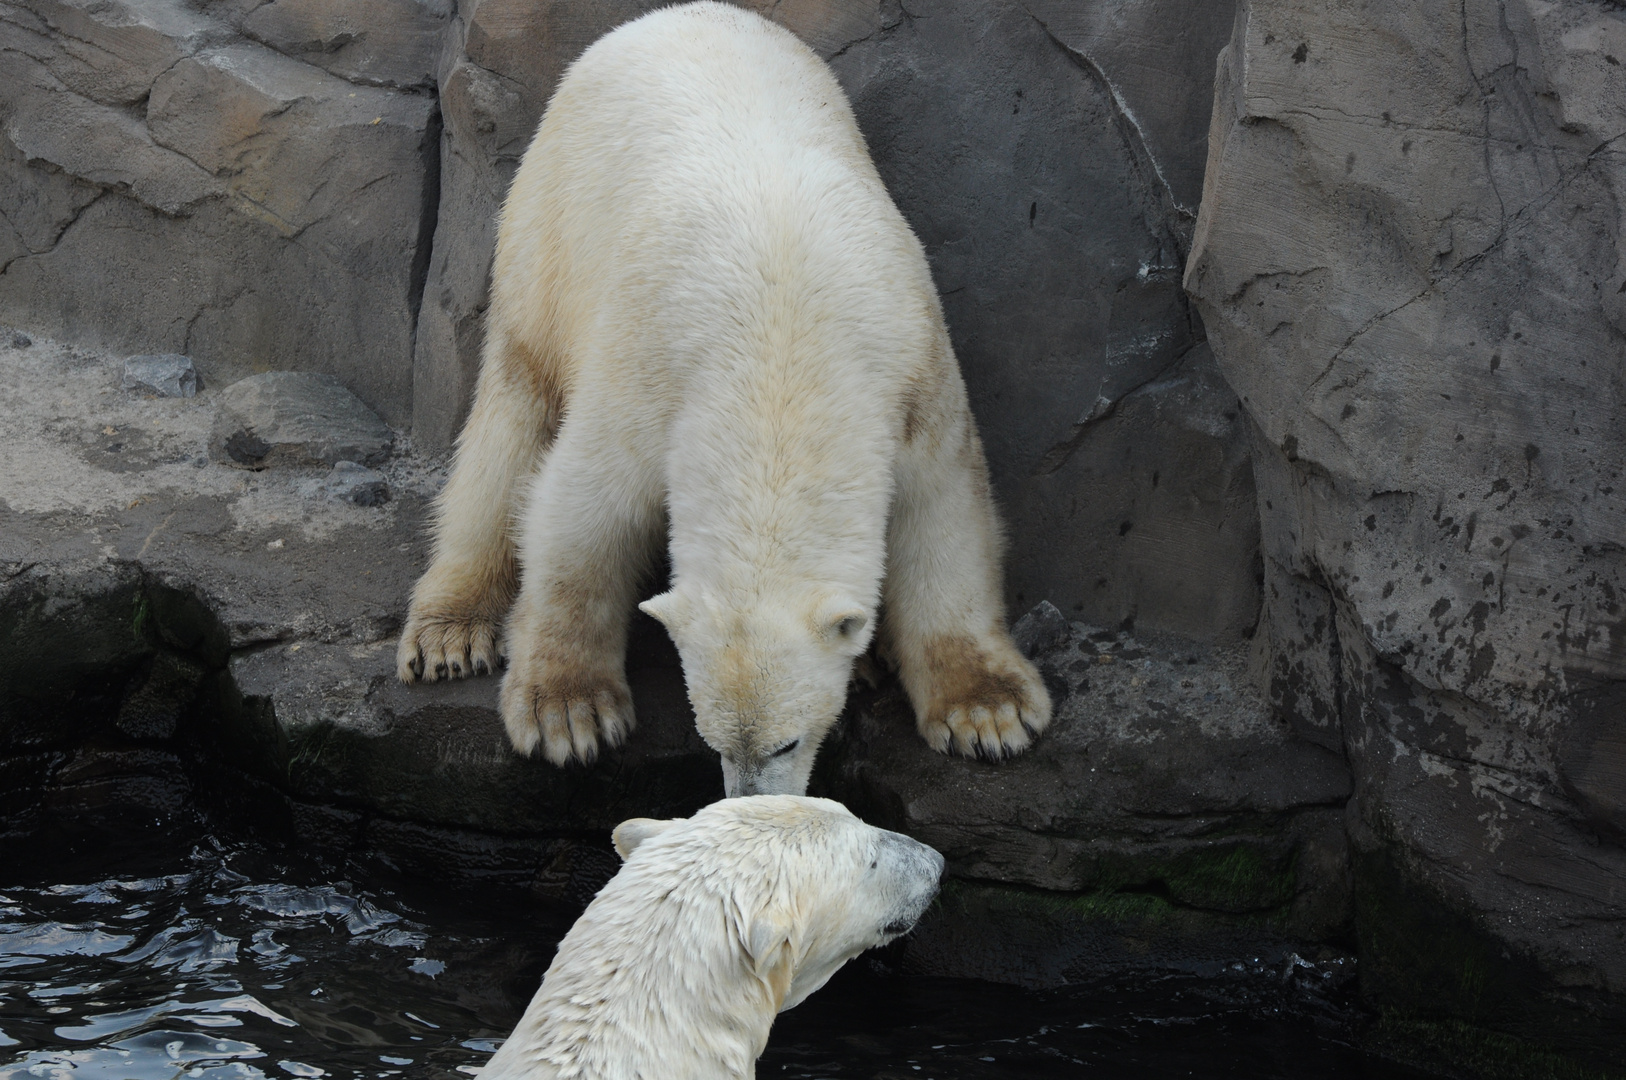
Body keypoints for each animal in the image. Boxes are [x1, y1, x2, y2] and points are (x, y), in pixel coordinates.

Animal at [398, 0, 1047, 793]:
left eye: (792, 741)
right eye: (713, 742)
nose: (741, 802)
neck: (782, 362)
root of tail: (675, 14)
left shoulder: (912, 370)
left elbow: (944, 513)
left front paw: (989, 713)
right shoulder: (650, 368)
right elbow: (583, 507)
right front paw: (568, 713)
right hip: (548, 230)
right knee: (513, 419)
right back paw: (451, 631)